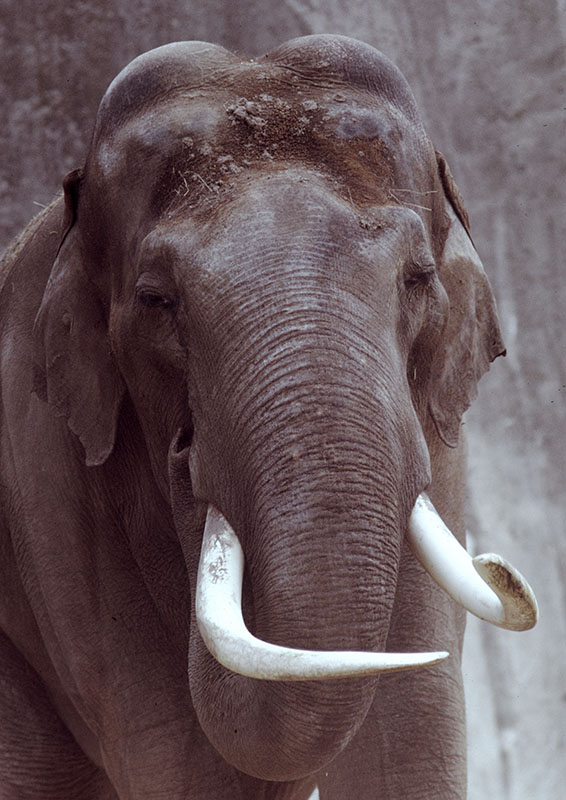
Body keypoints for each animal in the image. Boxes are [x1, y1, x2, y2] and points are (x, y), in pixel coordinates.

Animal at [0, 34, 537, 799]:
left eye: (418, 278)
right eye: (156, 299)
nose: (497, 564)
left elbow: (408, 730)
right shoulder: (51, 485)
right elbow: (182, 758)